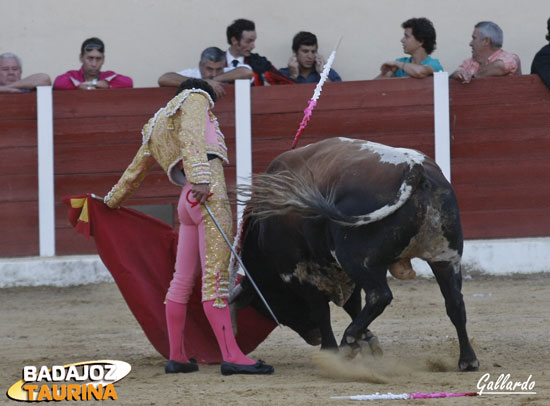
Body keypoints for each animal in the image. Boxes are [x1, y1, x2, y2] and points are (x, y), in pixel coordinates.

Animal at [231, 137, 480, 372]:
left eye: (274, 306)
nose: (314, 337)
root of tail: (415, 170)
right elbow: (353, 305)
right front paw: (367, 341)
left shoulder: (297, 271)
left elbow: (322, 309)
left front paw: (331, 350)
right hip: (446, 256)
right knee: (454, 302)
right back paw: (468, 360)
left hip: (356, 259)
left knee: (379, 296)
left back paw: (345, 344)